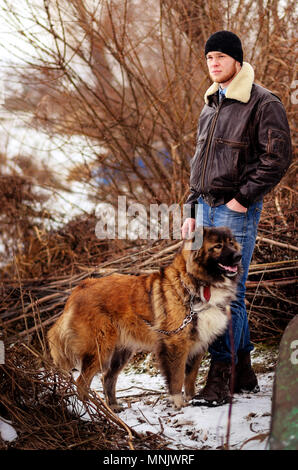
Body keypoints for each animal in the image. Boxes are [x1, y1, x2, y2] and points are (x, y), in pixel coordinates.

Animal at [47, 227, 242, 408]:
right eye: (218, 246)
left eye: (231, 243)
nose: (239, 256)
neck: (196, 283)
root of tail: (79, 288)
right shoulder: (176, 343)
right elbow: (177, 378)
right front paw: (179, 404)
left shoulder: (199, 344)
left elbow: (190, 379)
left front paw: (193, 399)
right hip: (100, 349)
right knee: (81, 383)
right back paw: (94, 412)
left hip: (121, 352)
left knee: (107, 378)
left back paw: (113, 408)